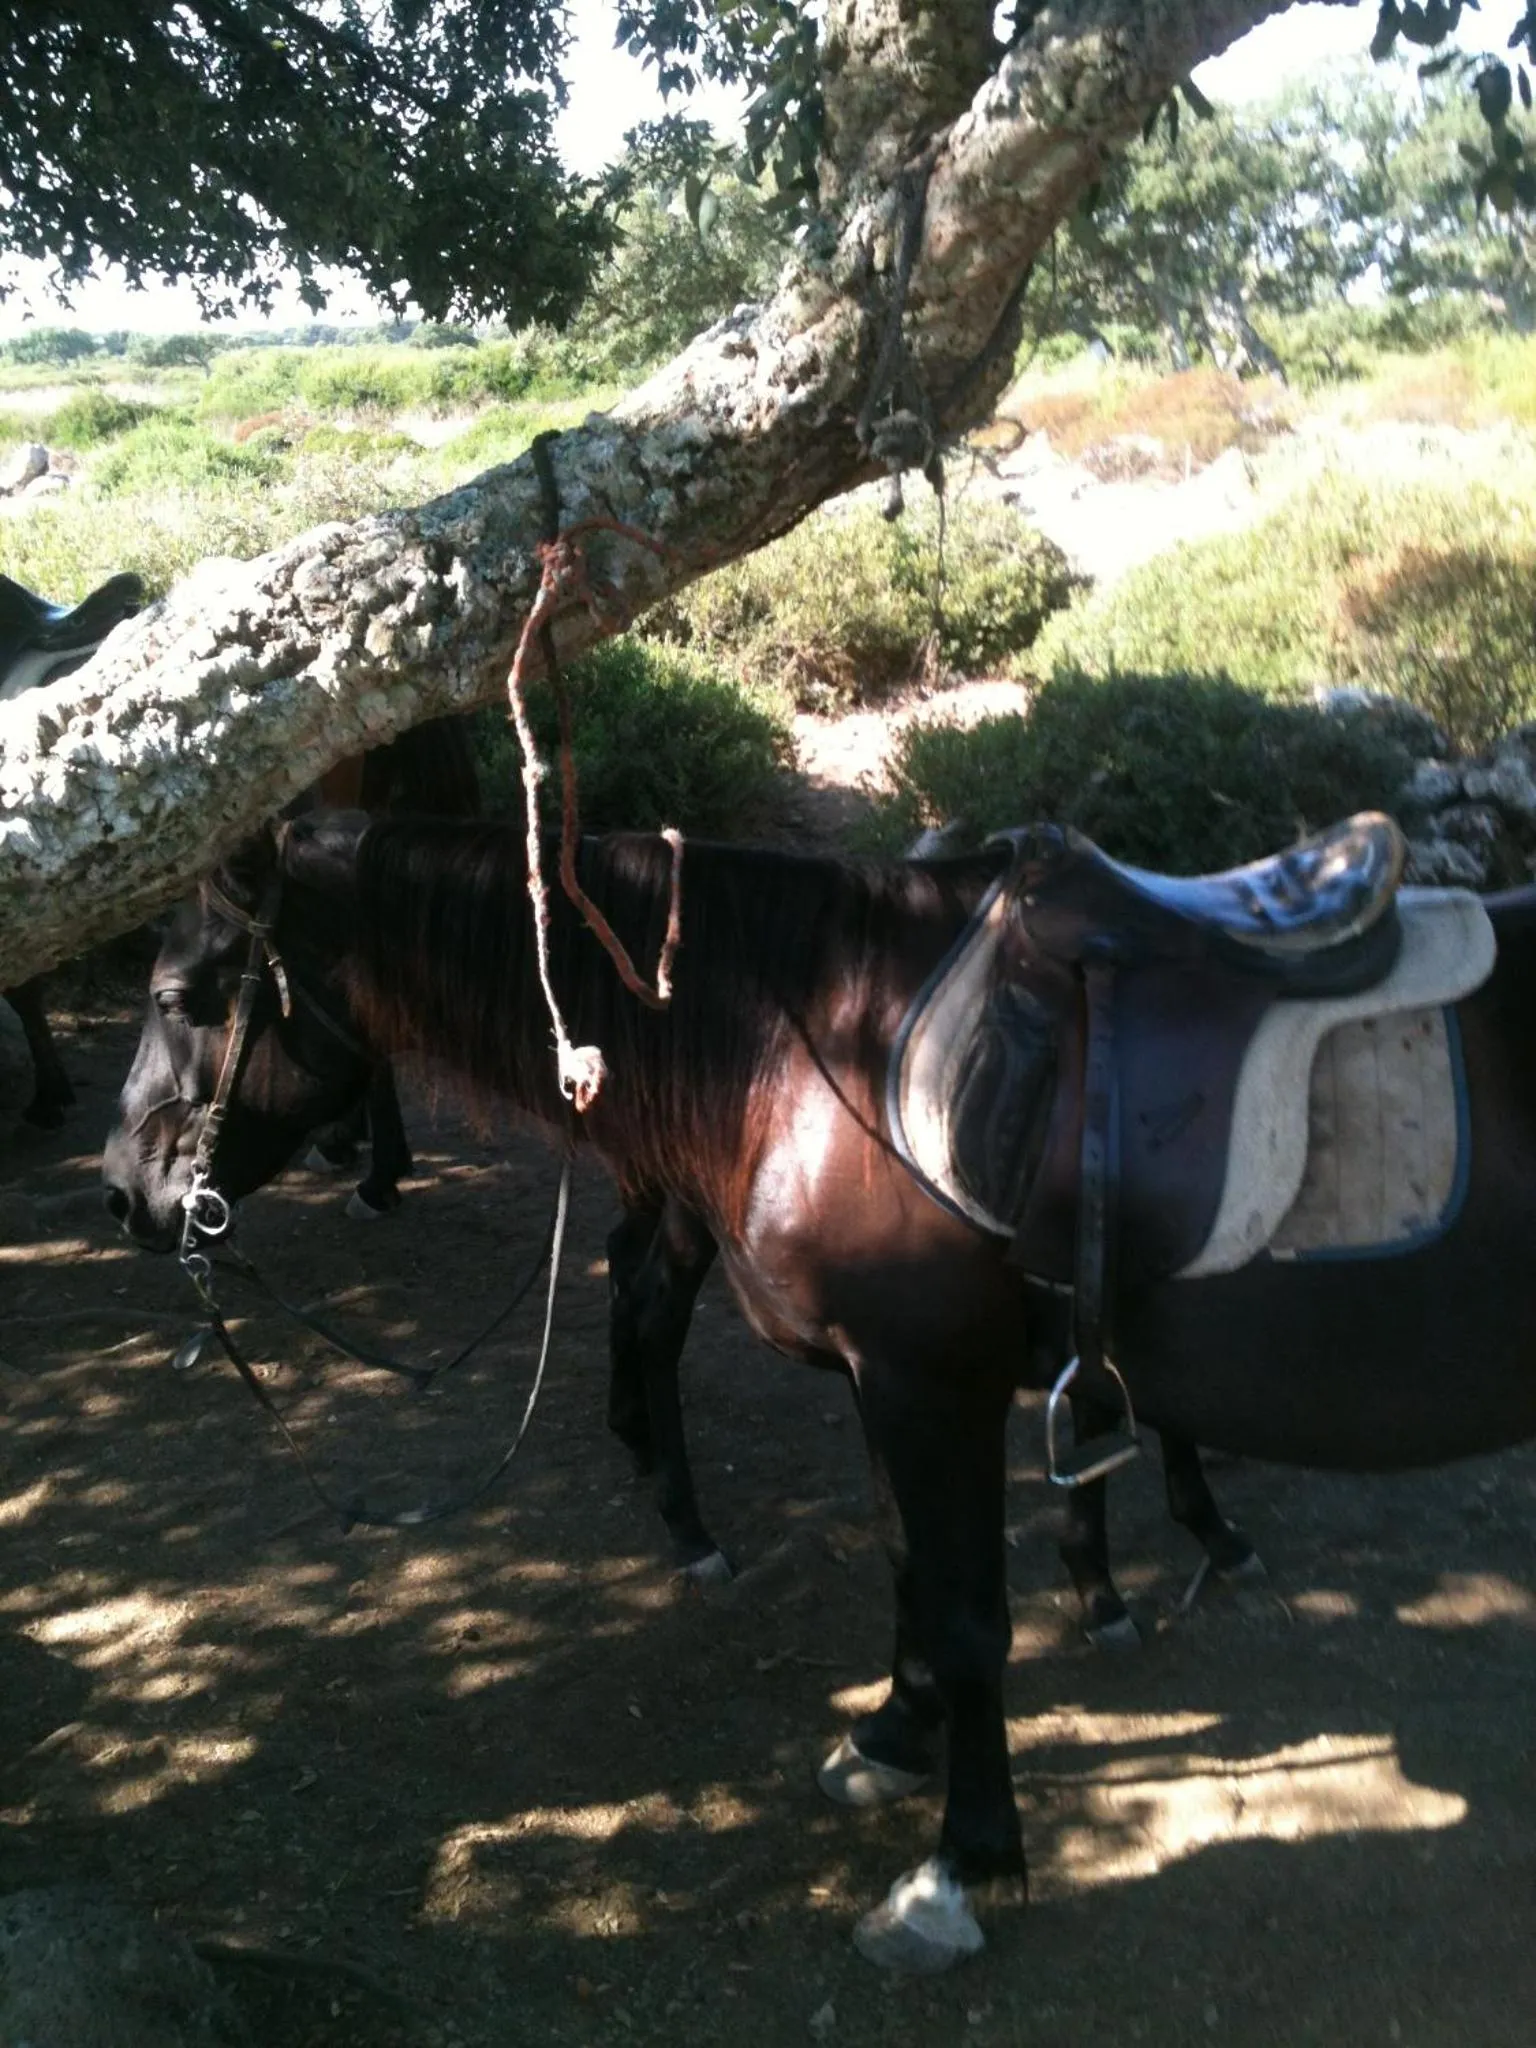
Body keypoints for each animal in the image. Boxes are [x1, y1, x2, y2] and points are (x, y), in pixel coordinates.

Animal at [102, 811, 1536, 1973]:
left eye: (178, 992)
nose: (122, 1193)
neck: (818, 1039)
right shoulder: (886, 1385)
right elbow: (911, 1571)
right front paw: (896, 1737)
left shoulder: (929, 1385)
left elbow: (966, 1615)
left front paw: (962, 1865)